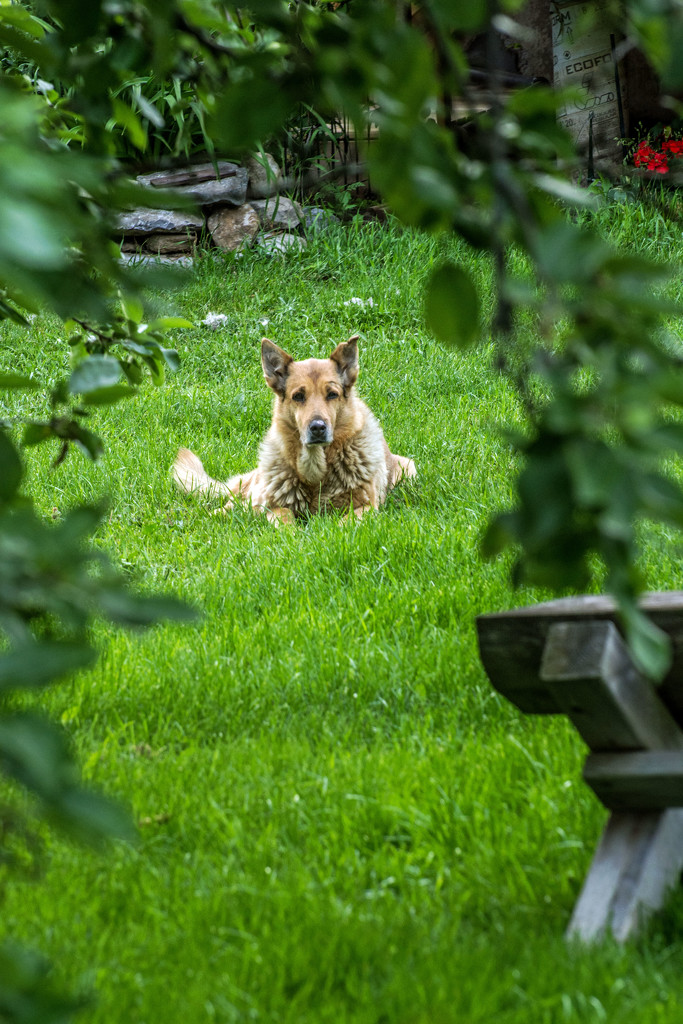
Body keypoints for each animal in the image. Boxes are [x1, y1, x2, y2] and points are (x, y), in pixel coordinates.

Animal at [174, 335, 413, 524]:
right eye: (298, 396)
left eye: (332, 394)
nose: (318, 428)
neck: (316, 472)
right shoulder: (271, 506)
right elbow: (284, 517)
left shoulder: (368, 507)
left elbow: (345, 523)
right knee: (228, 508)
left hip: (408, 470)